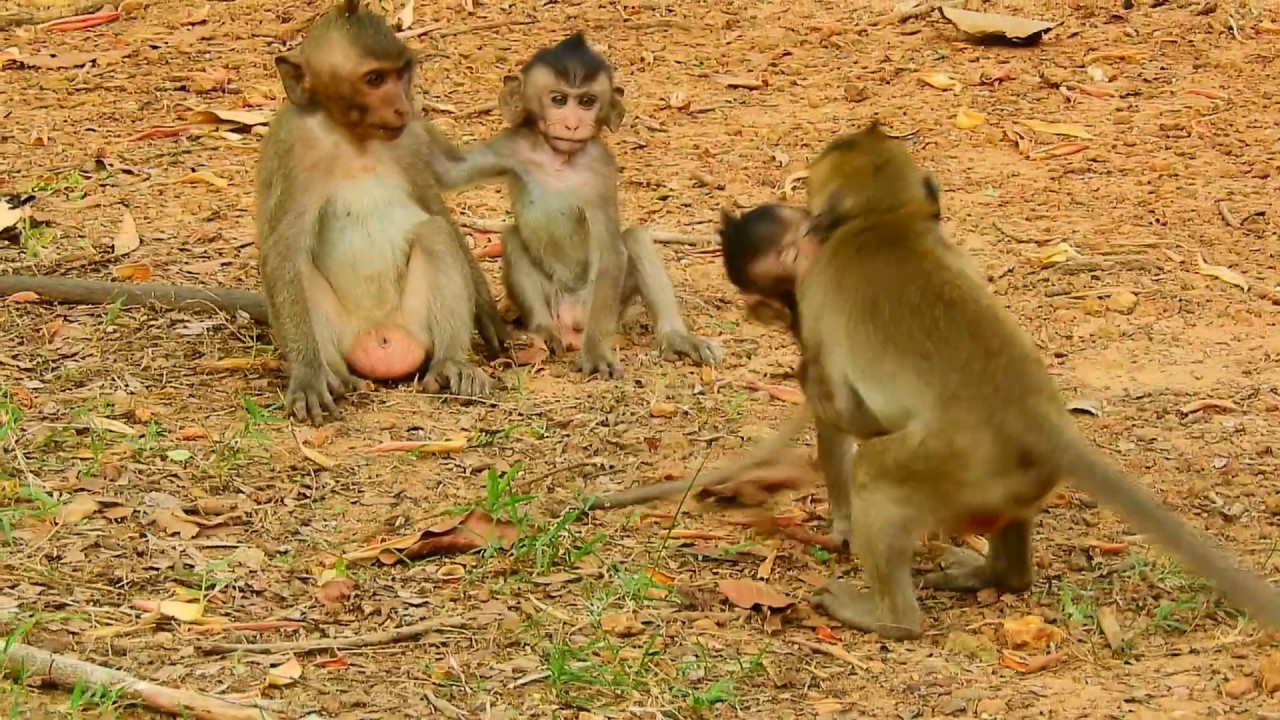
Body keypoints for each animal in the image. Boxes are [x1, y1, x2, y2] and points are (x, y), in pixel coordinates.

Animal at [424, 32, 721, 379]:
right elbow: (447, 170)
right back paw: (543, 330)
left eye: (587, 102)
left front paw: (596, 354)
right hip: (552, 298)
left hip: (604, 305)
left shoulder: (601, 169)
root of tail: (571, 321)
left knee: (633, 238)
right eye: (559, 100)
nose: (572, 125)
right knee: (512, 236)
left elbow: (611, 250)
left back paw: (676, 337)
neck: (559, 159)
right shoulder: (512, 145)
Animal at [766, 121, 1280, 640]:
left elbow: (838, 408)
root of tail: (1035, 416)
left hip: (949, 463)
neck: (885, 221)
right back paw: (999, 575)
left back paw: (890, 618)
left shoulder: (817, 290)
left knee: (874, 470)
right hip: (1009, 477)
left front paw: (840, 519)